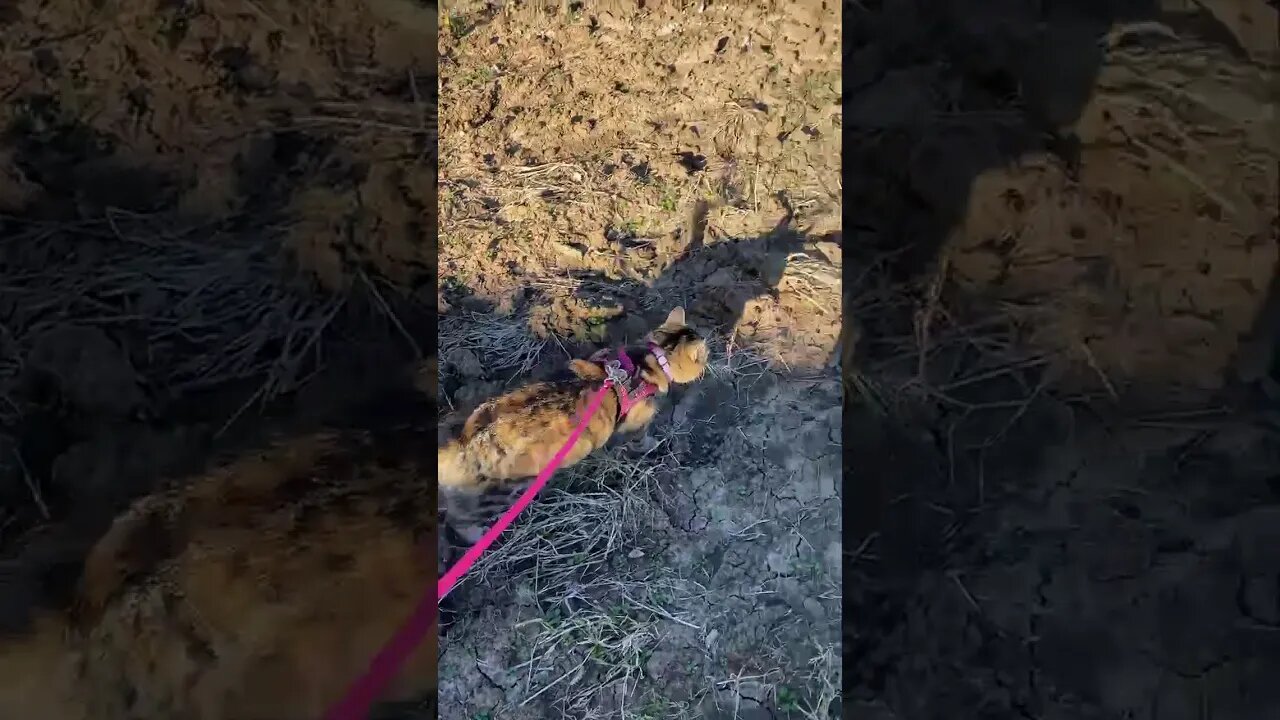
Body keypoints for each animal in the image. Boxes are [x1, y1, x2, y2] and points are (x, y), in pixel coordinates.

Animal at [435, 304, 706, 489]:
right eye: (705, 355)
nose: (709, 358)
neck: (652, 357)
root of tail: (468, 442)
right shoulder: (636, 421)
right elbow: (640, 437)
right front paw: (651, 445)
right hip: (577, 447)